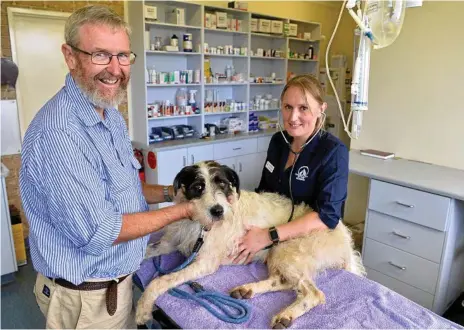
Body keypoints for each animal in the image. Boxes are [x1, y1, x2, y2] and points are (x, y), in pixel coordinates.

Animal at [136, 160, 364, 328]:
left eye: (223, 184)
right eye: (198, 187)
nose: (218, 211)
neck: (199, 225)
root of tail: (344, 235)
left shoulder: (205, 263)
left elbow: (160, 281)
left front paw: (143, 308)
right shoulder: (169, 244)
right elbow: (144, 254)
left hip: (285, 249)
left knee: (313, 292)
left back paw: (286, 315)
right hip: (278, 255)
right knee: (284, 281)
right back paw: (247, 290)